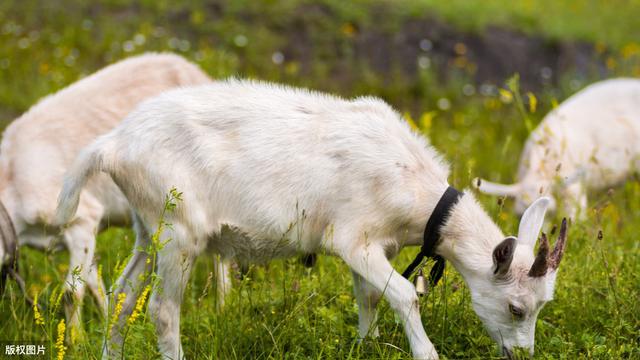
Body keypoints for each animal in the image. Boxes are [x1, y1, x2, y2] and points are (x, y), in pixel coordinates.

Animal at [0, 52, 230, 334]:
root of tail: (196, 71)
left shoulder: (80, 219)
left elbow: (71, 292)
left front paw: (77, 339)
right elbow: (95, 284)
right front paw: (104, 321)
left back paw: (222, 307)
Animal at [53, 80, 564, 358]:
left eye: (542, 307)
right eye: (517, 308)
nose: (521, 354)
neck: (413, 183)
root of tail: (113, 144)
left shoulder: (379, 246)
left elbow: (369, 297)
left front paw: (365, 346)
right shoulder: (353, 239)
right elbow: (404, 294)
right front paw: (427, 353)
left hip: (149, 227)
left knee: (122, 295)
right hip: (180, 230)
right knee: (162, 308)